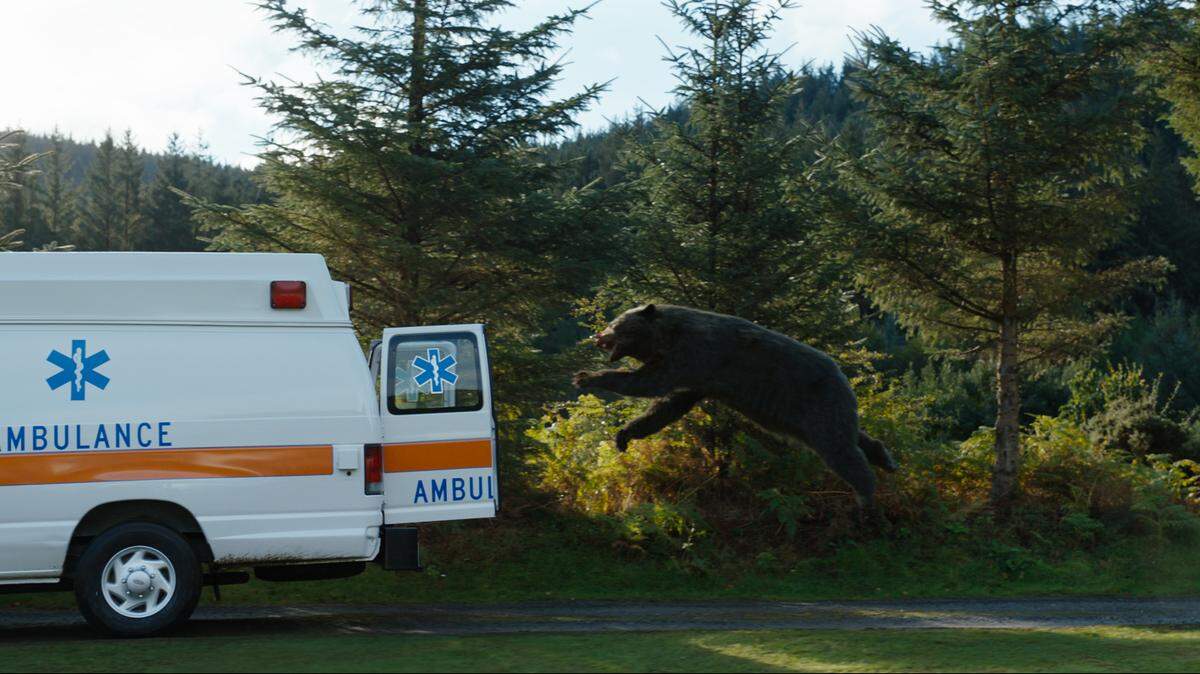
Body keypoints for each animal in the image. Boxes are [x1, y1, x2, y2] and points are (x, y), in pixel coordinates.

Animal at [572, 303, 897, 506]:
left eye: (616, 323)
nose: (598, 335)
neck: (668, 336)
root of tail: (844, 375)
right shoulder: (697, 379)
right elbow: (667, 406)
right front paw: (624, 434)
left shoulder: (695, 354)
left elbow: (649, 383)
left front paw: (586, 377)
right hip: (808, 417)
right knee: (852, 437)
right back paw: (885, 458)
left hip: (816, 403)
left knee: (841, 451)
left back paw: (866, 496)